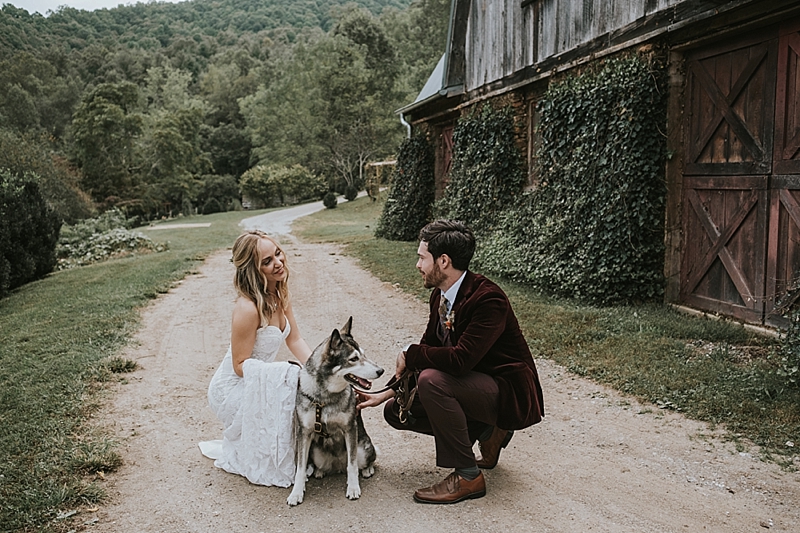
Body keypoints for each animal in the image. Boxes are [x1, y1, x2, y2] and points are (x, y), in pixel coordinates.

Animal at [288, 316, 384, 508]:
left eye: (364, 355)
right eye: (354, 358)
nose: (381, 371)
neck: (325, 398)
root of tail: (338, 464)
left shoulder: (350, 428)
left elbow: (352, 465)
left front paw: (353, 488)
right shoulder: (304, 432)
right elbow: (300, 468)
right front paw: (296, 493)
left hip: (362, 448)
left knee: (364, 460)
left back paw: (367, 470)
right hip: (316, 453)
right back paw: (319, 471)